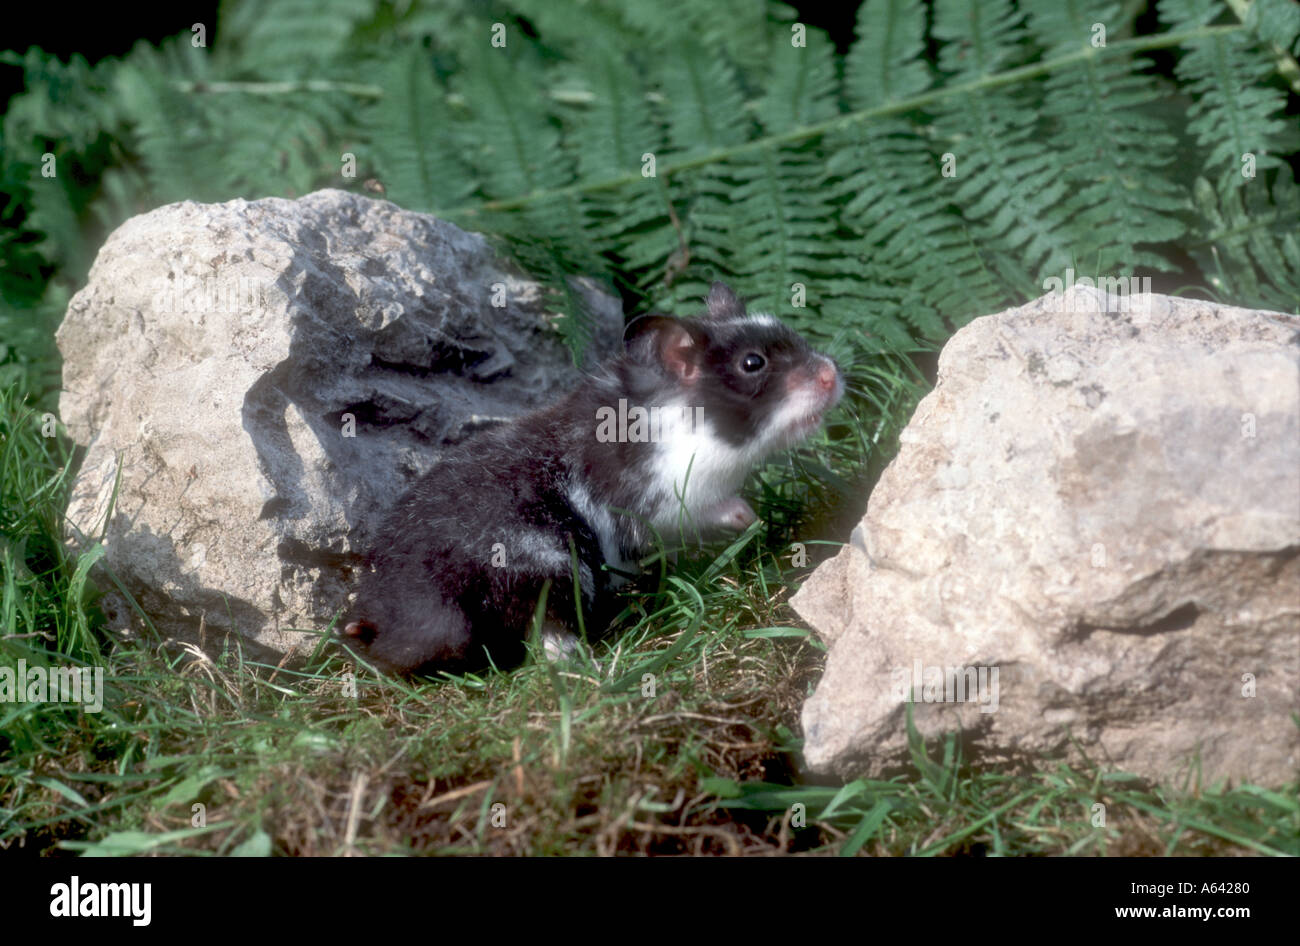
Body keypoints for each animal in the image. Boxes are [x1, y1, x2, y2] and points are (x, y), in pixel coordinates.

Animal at [341, 281, 844, 675]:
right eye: (753, 363)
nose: (833, 375)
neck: (684, 420)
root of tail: (414, 610)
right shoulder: (663, 502)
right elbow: (713, 511)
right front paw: (750, 517)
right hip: (552, 563)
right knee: (546, 633)